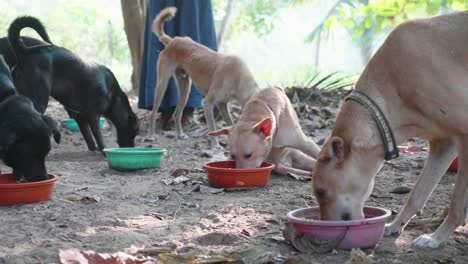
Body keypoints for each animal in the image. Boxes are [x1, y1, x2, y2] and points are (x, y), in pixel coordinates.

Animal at [3, 16, 139, 152]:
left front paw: (93, 149)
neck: (114, 94)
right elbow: (99, 137)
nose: (130, 148)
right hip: (39, 100)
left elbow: (88, 138)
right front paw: (103, 150)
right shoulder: (93, 116)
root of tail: (25, 52)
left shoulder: (80, 117)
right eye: (133, 132)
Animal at [148, 7, 260, 146]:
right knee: (153, 113)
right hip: (162, 84)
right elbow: (212, 127)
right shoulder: (207, 103)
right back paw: (151, 136)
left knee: (177, 114)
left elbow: (230, 124)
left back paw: (180, 134)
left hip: (185, 88)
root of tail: (172, 40)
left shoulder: (223, 104)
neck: (239, 77)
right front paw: (215, 144)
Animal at [312, 10, 468, 250]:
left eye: (321, 191)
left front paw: (436, 238)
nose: (327, 232)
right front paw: (395, 226)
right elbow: (417, 193)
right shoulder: (445, 143)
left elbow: (457, 202)